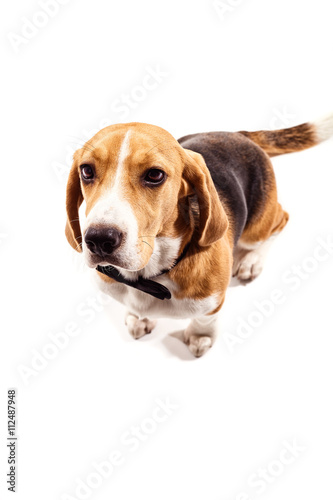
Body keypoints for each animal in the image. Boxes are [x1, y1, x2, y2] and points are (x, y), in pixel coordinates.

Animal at [65, 114, 332, 356]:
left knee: (281, 220)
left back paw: (252, 260)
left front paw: (199, 336)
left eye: (155, 175)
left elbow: (205, 319)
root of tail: (241, 134)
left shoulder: (213, 302)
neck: (149, 277)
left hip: (257, 228)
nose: (99, 239)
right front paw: (139, 317)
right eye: (86, 171)